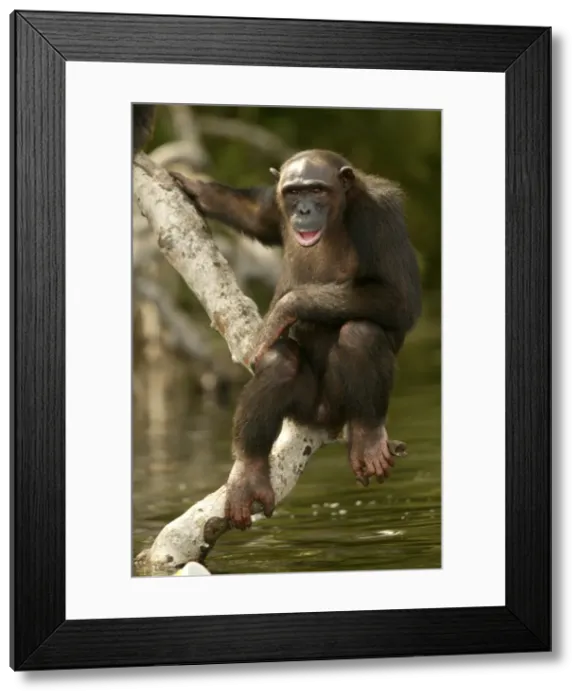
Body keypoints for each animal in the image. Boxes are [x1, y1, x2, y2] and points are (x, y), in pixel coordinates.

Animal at [167, 146, 422, 531]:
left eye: (317, 190)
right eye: (293, 192)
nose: (303, 210)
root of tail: (322, 417)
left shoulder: (381, 217)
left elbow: (399, 297)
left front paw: (285, 308)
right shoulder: (274, 207)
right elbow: (255, 215)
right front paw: (193, 186)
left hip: (339, 401)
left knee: (361, 333)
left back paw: (367, 435)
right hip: (303, 402)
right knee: (280, 362)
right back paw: (249, 474)